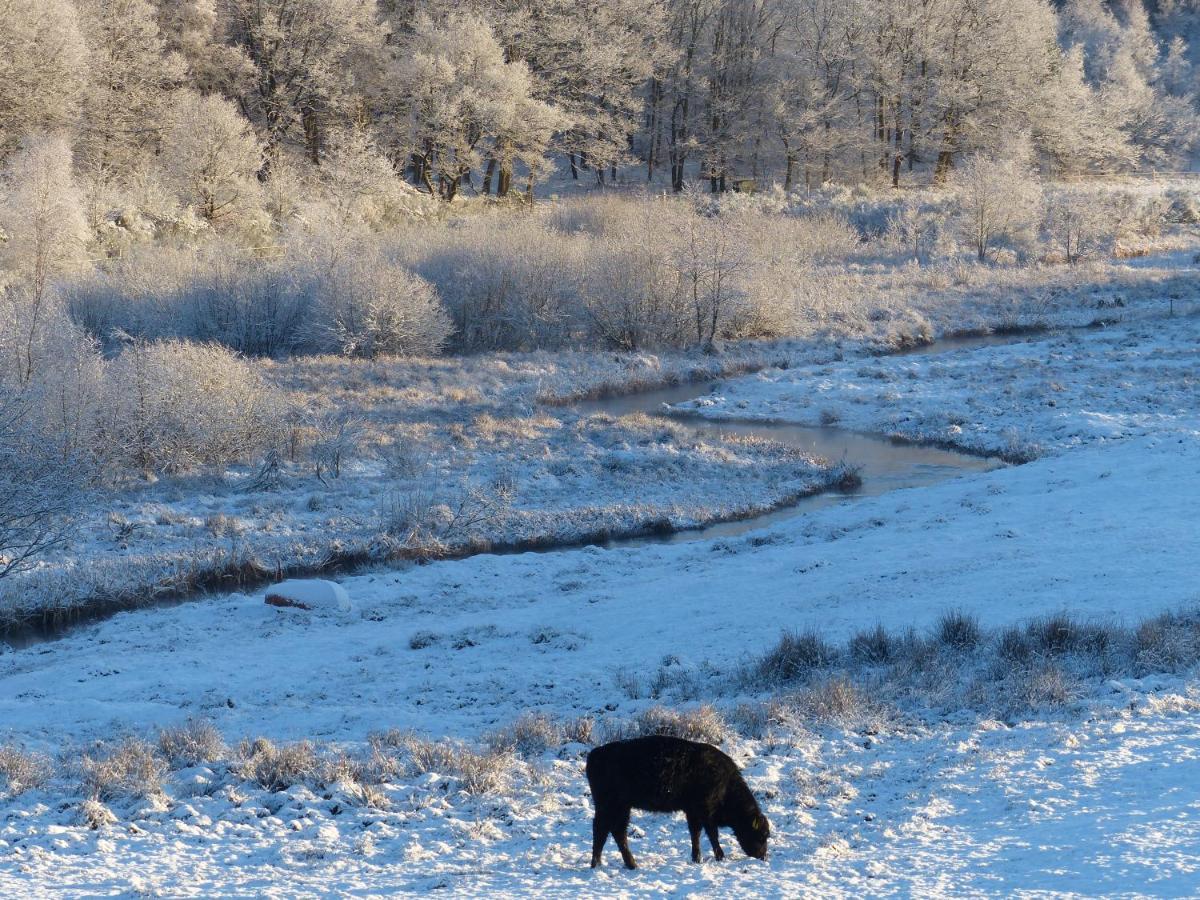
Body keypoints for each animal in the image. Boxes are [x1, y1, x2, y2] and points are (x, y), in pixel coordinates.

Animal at [583, 734, 768, 868]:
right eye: (761, 835)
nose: (763, 856)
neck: (726, 784)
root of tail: (594, 755)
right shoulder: (706, 811)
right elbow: (712, 834)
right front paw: (720, 856)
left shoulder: (692, 812)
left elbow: (695, 833)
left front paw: (696, 858)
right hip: (612, 806)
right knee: (605, 830)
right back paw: (610, 864)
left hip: (620, 808)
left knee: (612, 831)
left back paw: (616, 864)